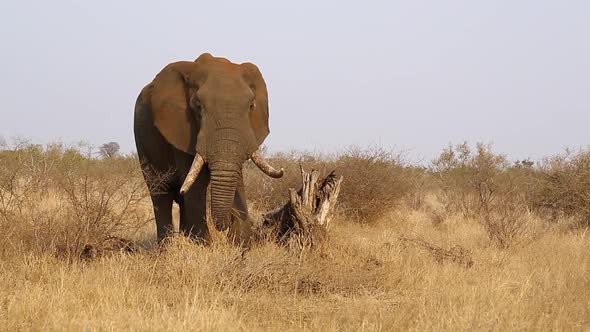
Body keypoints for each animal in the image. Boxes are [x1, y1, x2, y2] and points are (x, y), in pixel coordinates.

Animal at [134, 52, 284, 244]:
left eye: (251, 106)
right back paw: (168, 247)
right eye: (198, 106)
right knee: (160, 193)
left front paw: (240, 244)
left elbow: (235, 176)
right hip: (141, 139)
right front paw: (204, 246)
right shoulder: (182, 129)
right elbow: (195, 184)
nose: (224, 227)